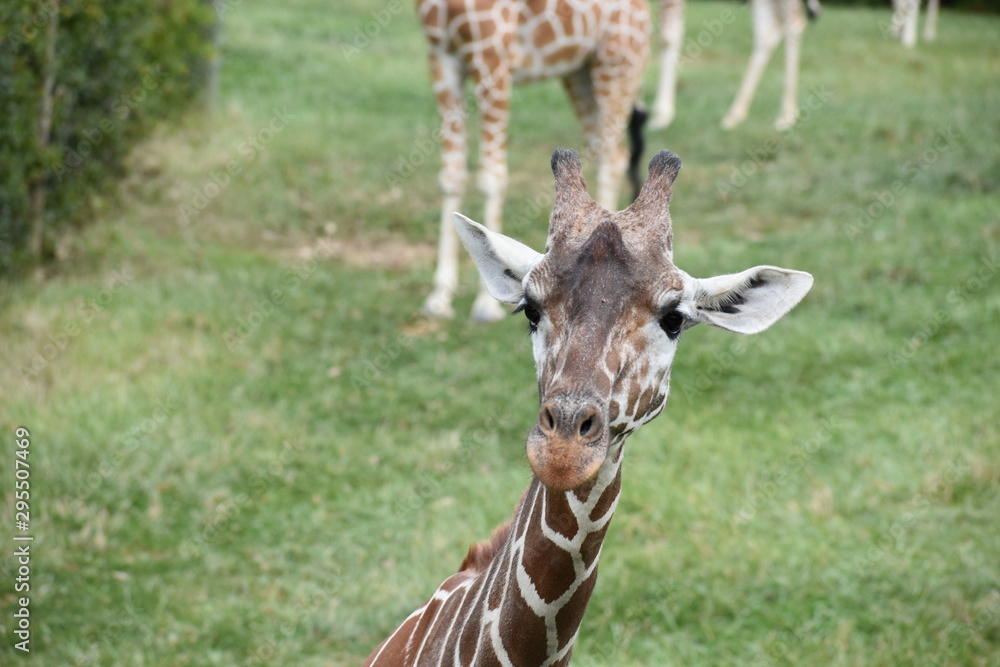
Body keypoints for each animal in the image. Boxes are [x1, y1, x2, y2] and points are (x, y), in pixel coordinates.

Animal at [417, 0, 651, 323]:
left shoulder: (492, 57)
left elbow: (491, 178)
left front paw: (485, 306)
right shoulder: (442, 55)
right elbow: (451, 177)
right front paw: (439, 297)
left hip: (617, 61)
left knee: (613, 155)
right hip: (579, 70)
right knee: (606, 151)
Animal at [649, 0, 821, 132]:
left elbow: (667, 36)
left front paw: (661, 116)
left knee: (794, 23)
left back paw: (786, 116)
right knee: (767, 31)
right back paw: (735, 115)